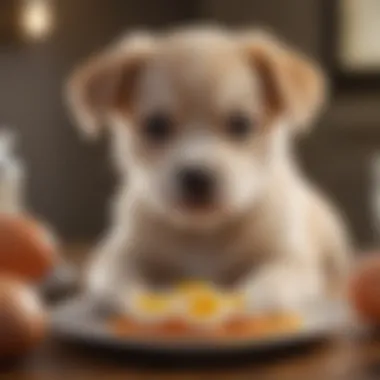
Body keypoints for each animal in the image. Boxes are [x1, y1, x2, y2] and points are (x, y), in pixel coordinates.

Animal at [67, 26, 350, 312]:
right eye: (156, 125)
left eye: (241, 123)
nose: (197, 177)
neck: (204, 235)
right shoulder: (121, 252)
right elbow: (118, 280)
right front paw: (137, 300)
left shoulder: (288, 258)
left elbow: (272, 281)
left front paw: (253, 302)